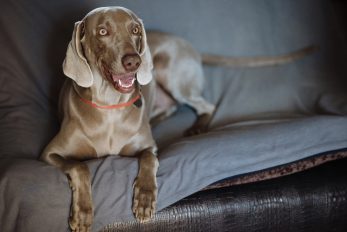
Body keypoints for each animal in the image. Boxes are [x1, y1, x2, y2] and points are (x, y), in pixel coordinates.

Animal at [40, 6, 316, 231]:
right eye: (102, 31)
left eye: (135, 29)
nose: (133, 61)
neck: (109, 106)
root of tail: (187, 45)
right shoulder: (50, 153)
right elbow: (80, 166)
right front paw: (83, 214)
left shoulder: (148, 146)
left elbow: (149, 159)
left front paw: (145, 199)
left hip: (169, 73)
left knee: (206, 105)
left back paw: (197, 127)